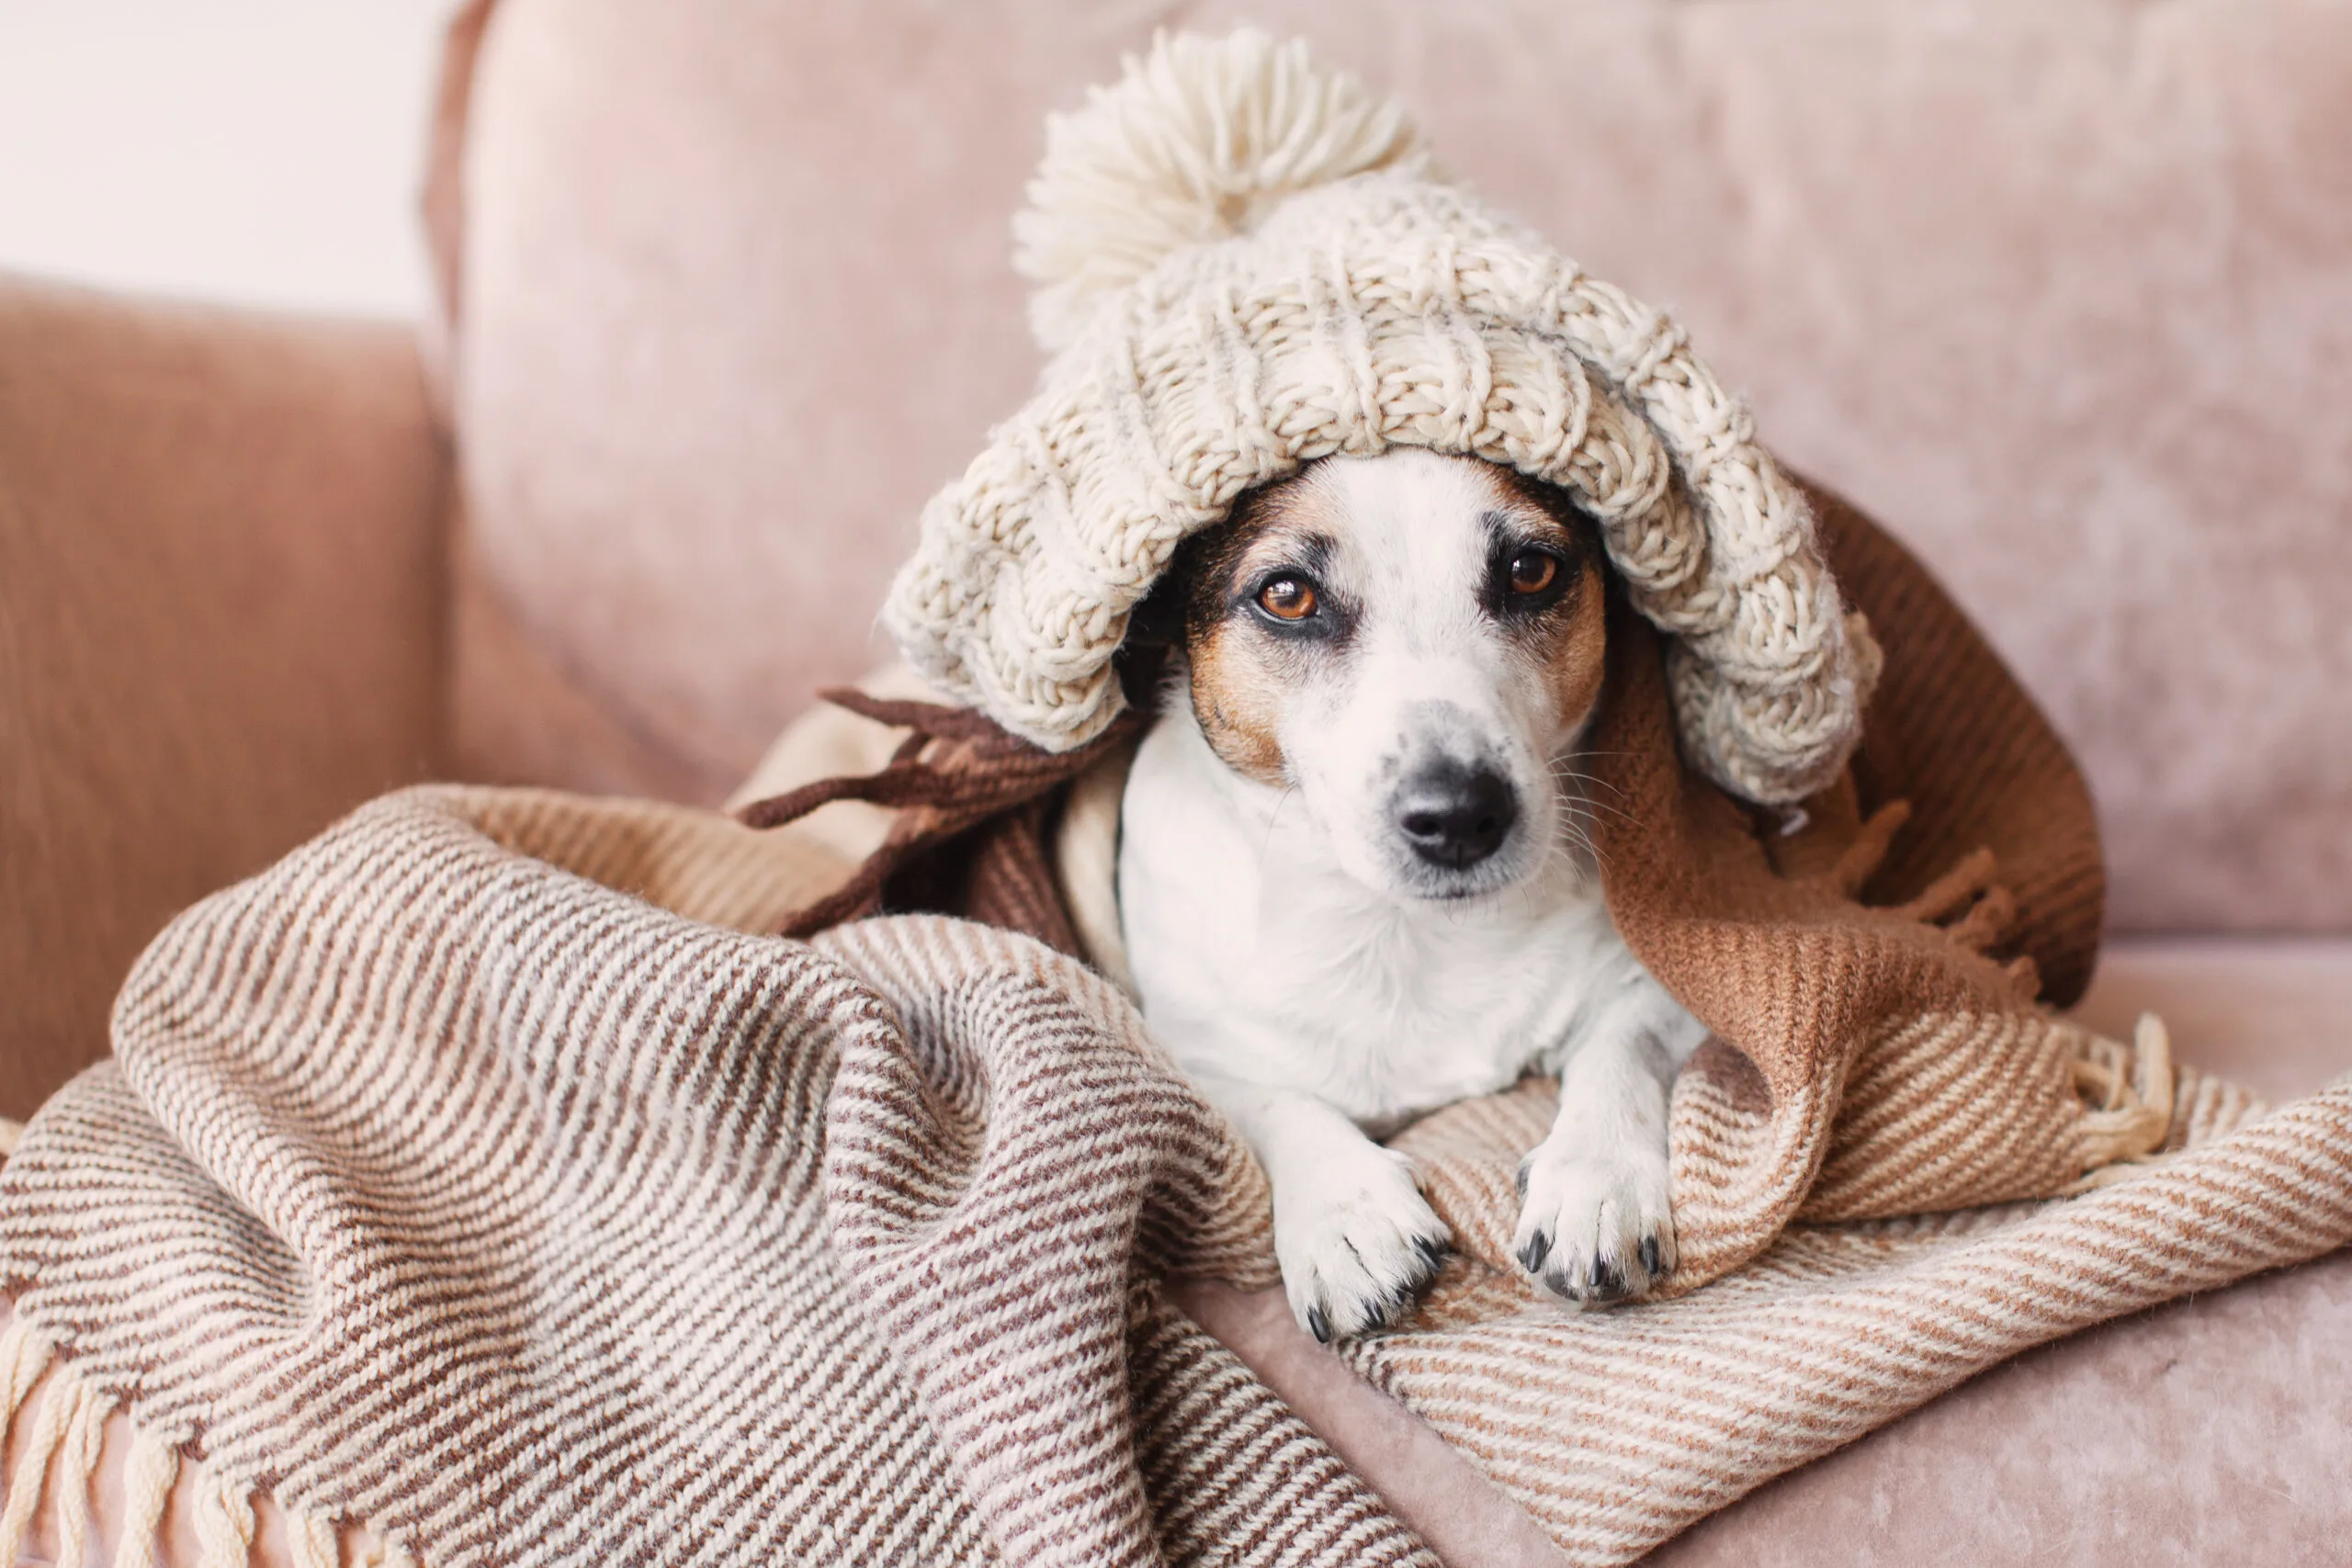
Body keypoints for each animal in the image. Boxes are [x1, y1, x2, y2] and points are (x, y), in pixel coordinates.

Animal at [1110, 446, 1702, 1344]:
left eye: (1531, 570)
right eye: (1287, 594)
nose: (1459, 815)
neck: (1409, 930)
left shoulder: (1649, 987)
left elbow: (1621, 1045)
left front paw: (1596, 1181)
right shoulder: (1195, 1046)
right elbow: (1274, 1099)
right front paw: (1345, 1216)